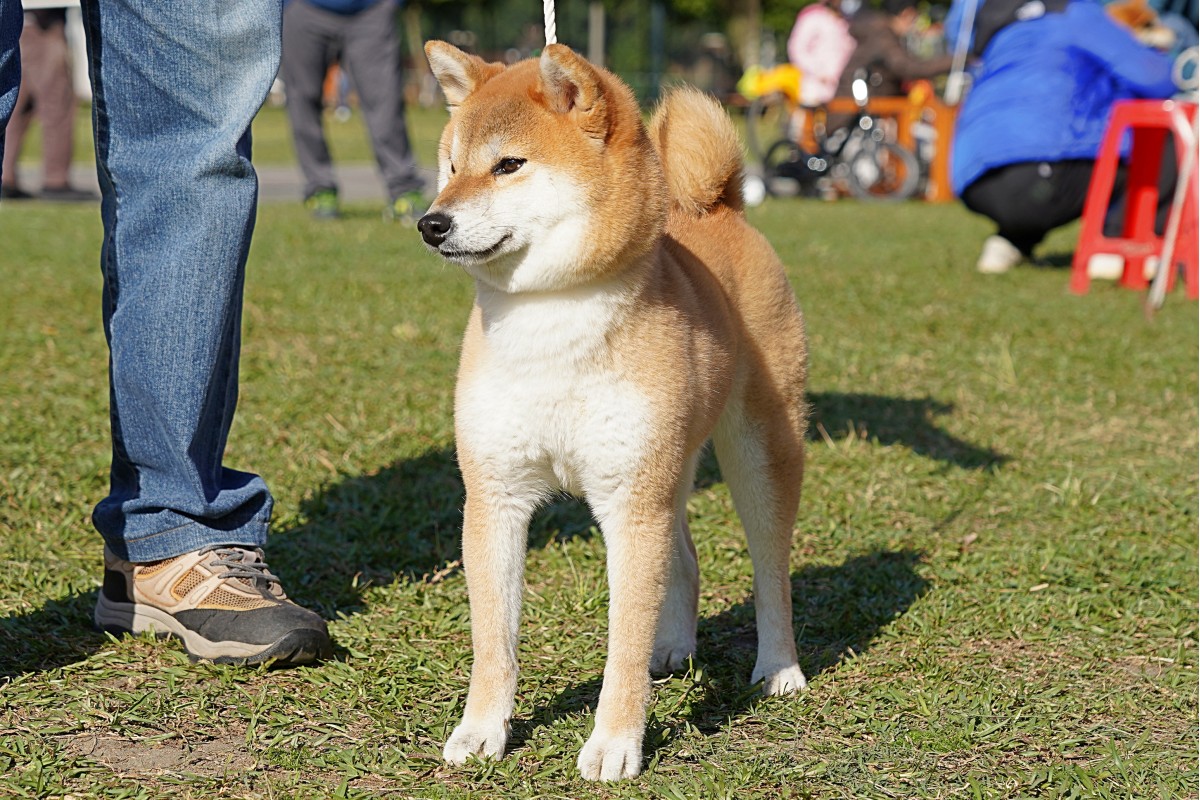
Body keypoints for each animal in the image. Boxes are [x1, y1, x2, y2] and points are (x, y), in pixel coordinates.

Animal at [417, 38, 811, 782]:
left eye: (508, 165)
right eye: (451, 166)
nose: (431, 222)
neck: (550, 321)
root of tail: (717, 208)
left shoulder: (630, 505)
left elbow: (620, 644)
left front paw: (614, 742)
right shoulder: (496, 495)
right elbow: (494, 640)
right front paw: (481, 731)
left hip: (757, 454)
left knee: (771, 570)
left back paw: (778, 668)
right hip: (670, 466)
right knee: (685, 554)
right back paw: (674, 646)